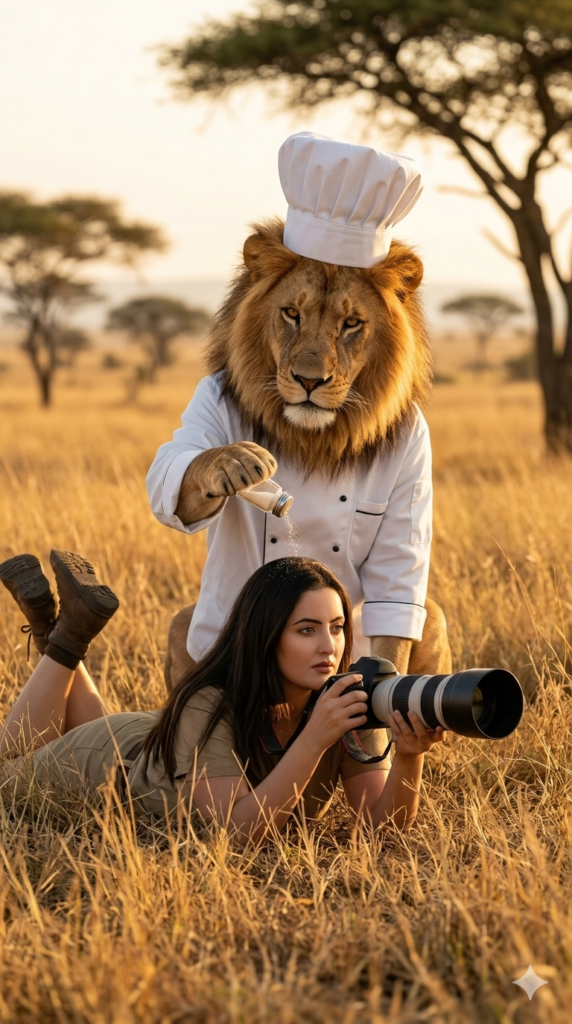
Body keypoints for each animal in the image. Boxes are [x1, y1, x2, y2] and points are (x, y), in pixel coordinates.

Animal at [148, 218, 451, 691]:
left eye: (351, 323)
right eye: (292, 314)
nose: (309, 381)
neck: (315, 440)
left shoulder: (416, 454)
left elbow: (394, 591)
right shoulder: (204, 405)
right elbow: (177, 467)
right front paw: (235, 462)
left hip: (433, 618)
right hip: (181, 621)